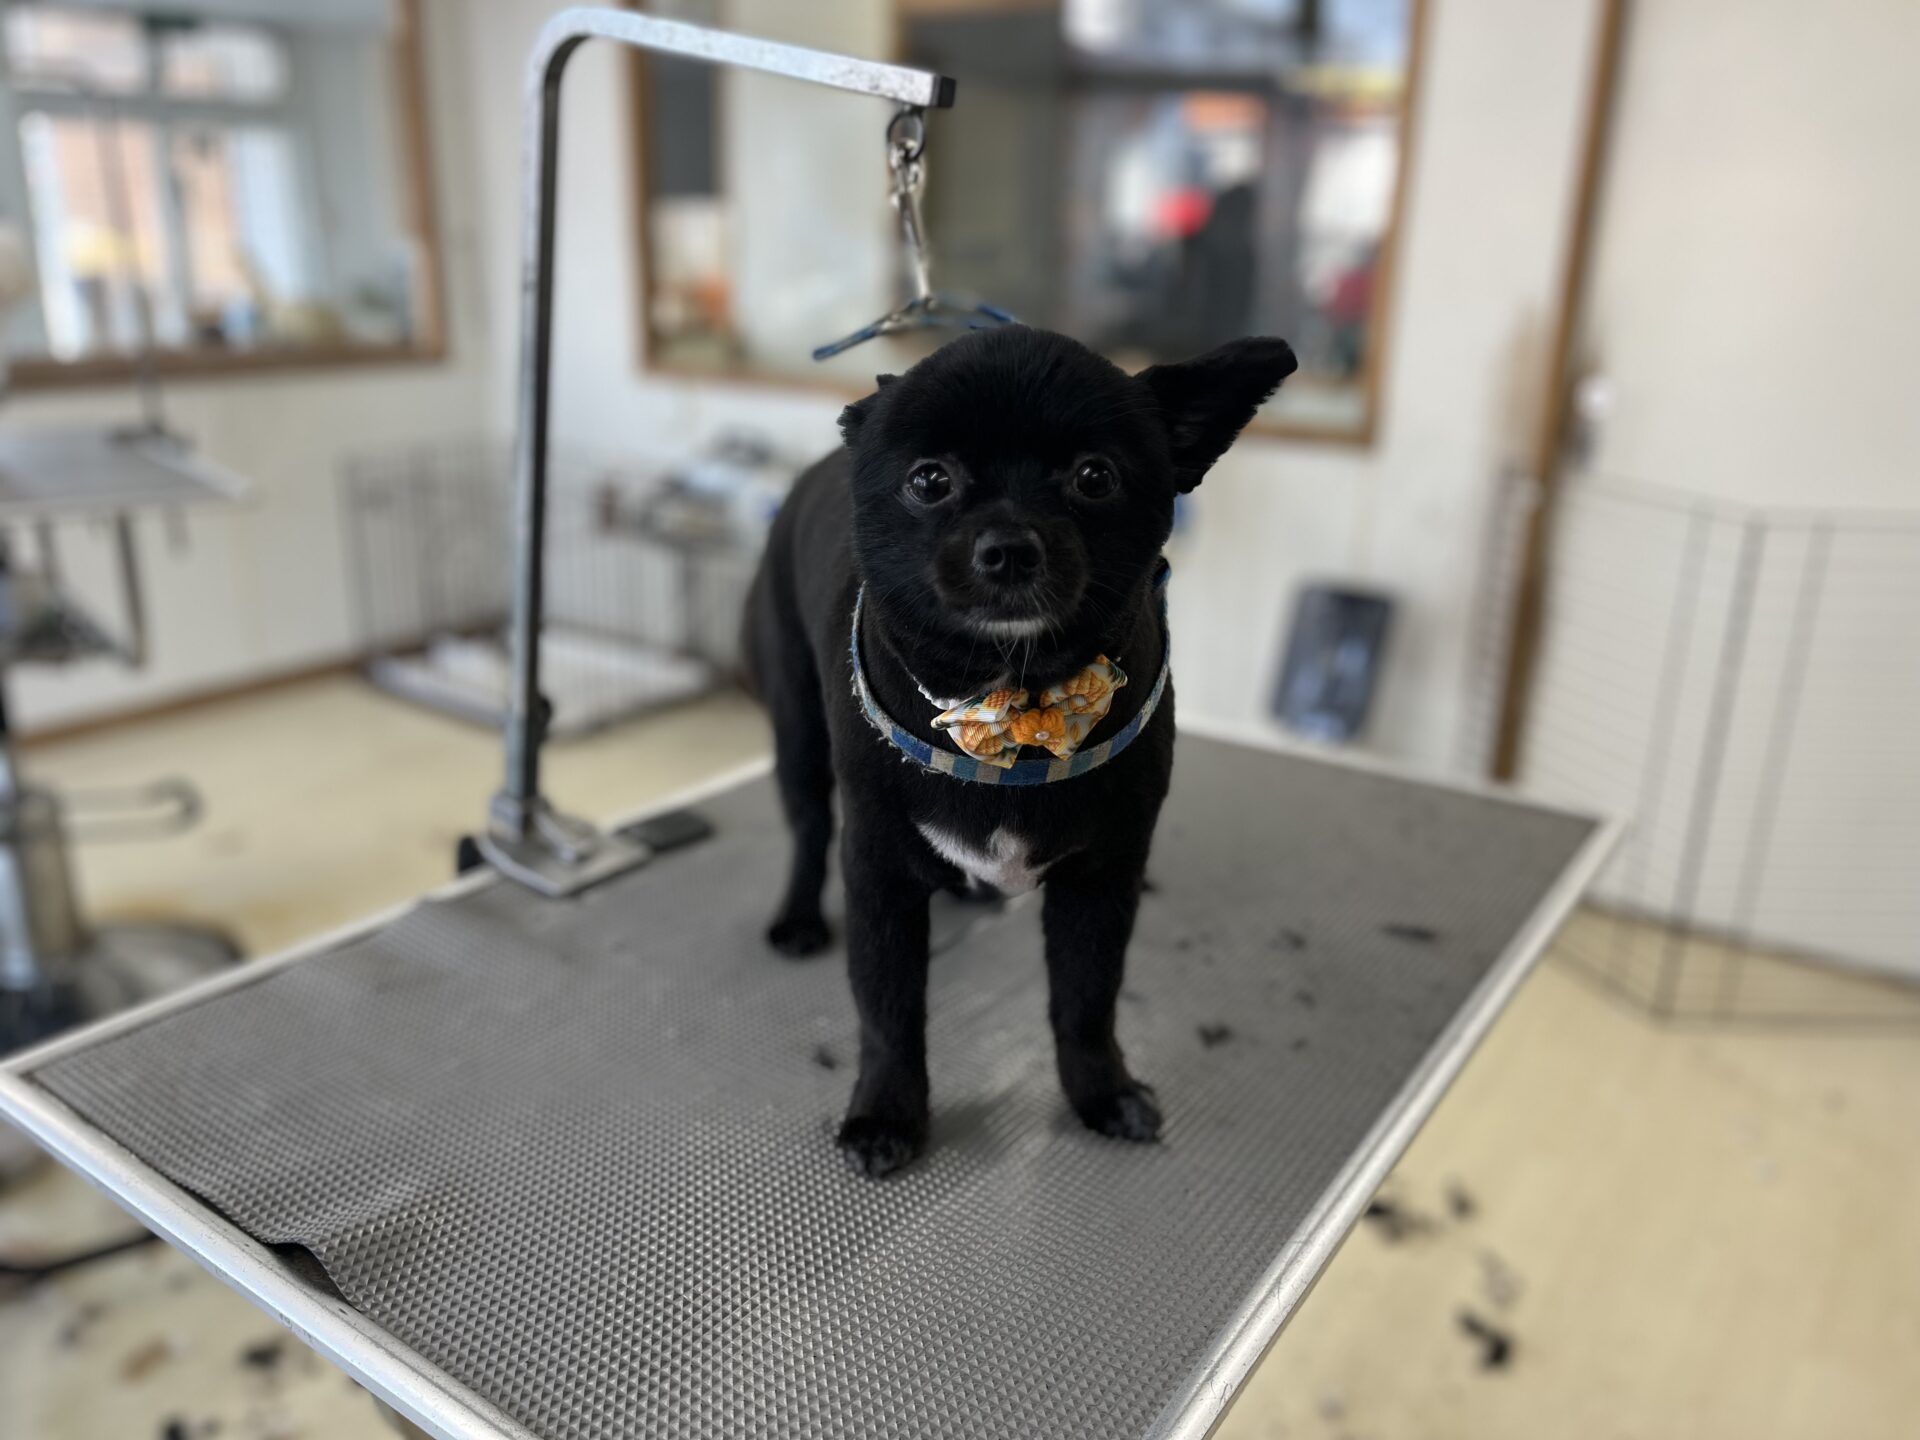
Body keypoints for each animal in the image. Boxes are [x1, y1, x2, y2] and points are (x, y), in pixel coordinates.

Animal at [743, 325, 1296, 1177]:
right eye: (929, 480)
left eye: (1095, 476)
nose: (1008, 547)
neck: (1016, 706)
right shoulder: (878, 877)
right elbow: (887, 1008)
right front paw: (886, 1113)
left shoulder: (1101, 884)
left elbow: (1086, 1000)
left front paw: (1101, 1092)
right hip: (797, 725)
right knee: (807, 827)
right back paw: (799, 918)